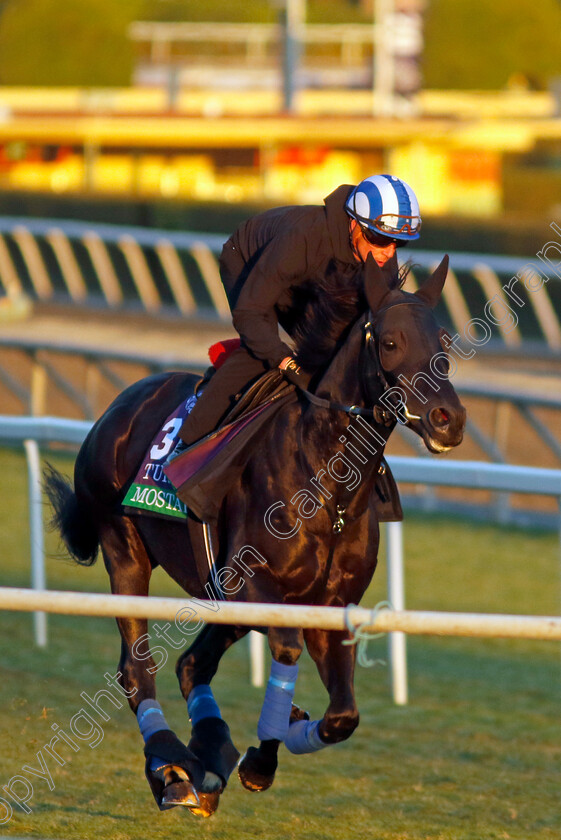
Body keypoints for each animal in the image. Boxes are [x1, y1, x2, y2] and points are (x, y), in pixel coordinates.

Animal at [46, 254, 464, 812]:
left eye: (443, 342)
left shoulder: (331, 606)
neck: (327, 486)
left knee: (191, 665)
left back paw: (208, 753)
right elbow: (286, 650)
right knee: (138, 670)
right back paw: (173, 768)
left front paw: (285, 729)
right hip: (125, 551)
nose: (449, 419)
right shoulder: (249, 584)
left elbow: (343, 715)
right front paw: (263, 758)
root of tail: (120, 406)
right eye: (392, 341)